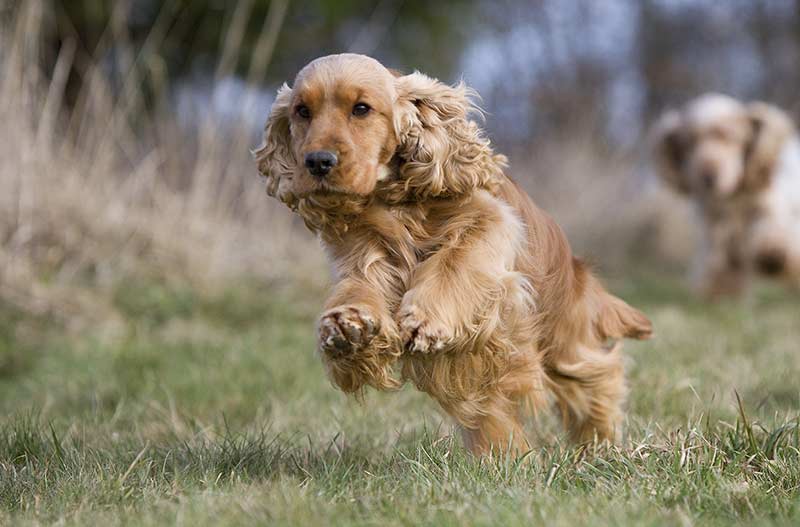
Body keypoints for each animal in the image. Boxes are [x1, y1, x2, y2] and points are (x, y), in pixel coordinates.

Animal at [255, 54, 648, 458]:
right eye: (302, 111)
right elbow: (358, 288)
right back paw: (503, 456)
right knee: (491, 410)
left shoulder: (489, 224)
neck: (394, 203)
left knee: (595, 377)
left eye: (361, 108)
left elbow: (454, 262)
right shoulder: (364, 258)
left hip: (561, 335)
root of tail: (576, 267)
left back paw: (599, 443)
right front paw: (347, 327)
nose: (318, 162)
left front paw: (425, 321)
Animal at [652, 94, 800, 296]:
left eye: (727, 137)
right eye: (689, 143)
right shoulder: (713, 228)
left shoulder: (770, 208)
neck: (732, 198)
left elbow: (772, 231)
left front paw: (772, 254)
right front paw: (718, 288)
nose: (707, 176)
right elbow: (720, 267)